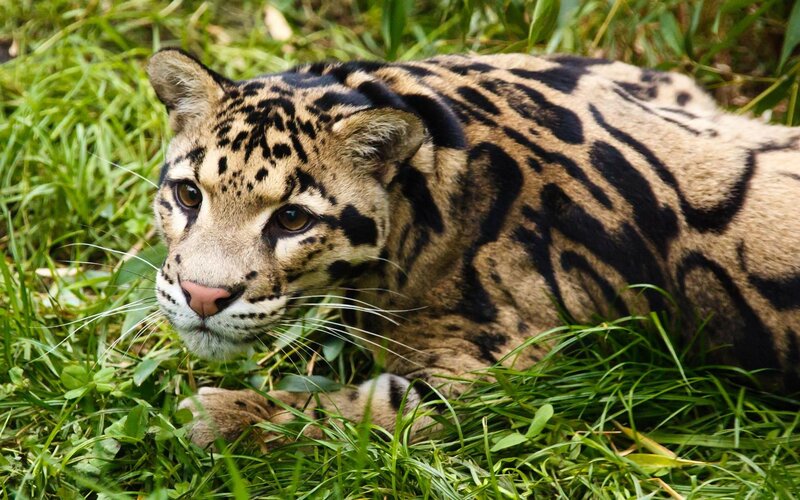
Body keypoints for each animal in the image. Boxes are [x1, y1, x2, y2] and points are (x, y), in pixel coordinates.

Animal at [147, 49, 800, 449]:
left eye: (291, 219)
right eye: (188, 195)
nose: (202, 296)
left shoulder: (504, 368)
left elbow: (358, 412)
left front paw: (224, 417)